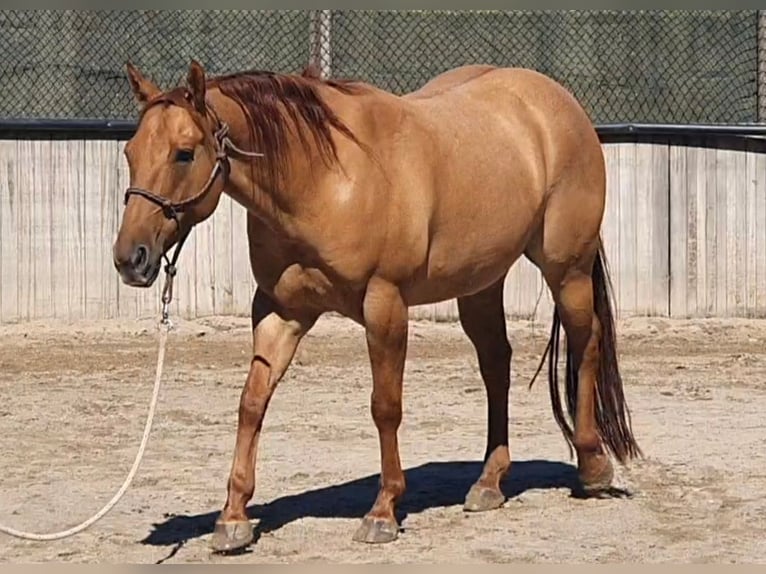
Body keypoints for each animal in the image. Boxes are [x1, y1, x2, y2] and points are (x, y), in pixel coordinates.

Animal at [112, 59, 642, 553]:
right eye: (130, 152)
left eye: (184, 153)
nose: (129, 259)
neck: (323, 178)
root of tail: (557, 102)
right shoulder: (280, 311)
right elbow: (252, 403)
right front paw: (233, 518)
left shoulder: (384, 303)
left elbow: (385, 407)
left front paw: (383, 510)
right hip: (479, 283)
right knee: (497, 364)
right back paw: (489, 483)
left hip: (567, 271)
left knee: (586, 343)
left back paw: (593, 466)